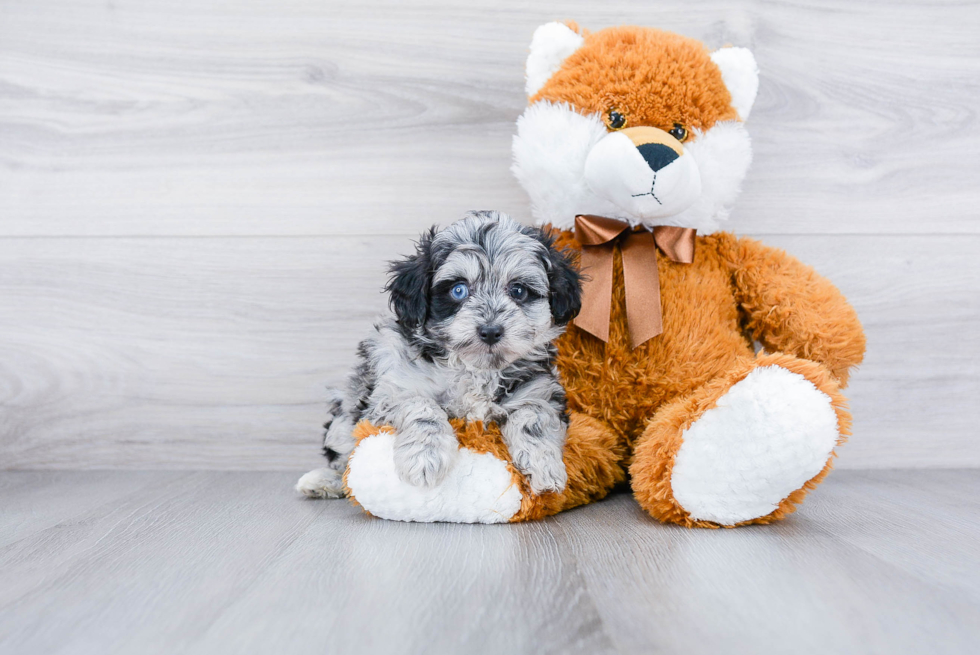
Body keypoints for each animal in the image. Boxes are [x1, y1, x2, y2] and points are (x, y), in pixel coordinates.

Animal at [294, 213, 580, 500]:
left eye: (518, 290)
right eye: (458, 290)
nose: (490, 331)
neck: (474, 369)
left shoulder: (539, 389)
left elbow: (534, 417)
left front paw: (545, 467)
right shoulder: (391, 392)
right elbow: (421, 407)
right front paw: (424, 458)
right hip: (346, 413)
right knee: (344, 457)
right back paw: (323, 481)